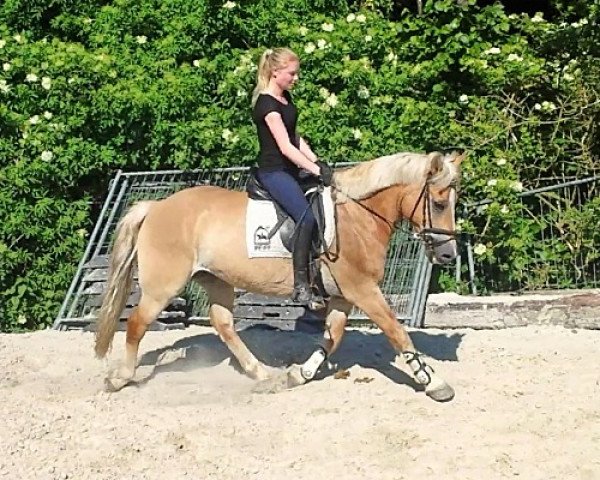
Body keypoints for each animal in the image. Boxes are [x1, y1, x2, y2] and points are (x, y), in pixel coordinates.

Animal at [96, 150, 466, 402]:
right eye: (438, 203)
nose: (449, 255)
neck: (357, 216)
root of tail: (157, 207)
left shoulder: (343, 295)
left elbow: (332, 337)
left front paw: (299, 375)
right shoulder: (362, 290)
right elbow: (396, 331)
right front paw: (433, 382)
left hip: (216, 280)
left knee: (223, 324)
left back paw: (261, 373)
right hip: (163, 286)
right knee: (137, 323)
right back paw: (119, 378)